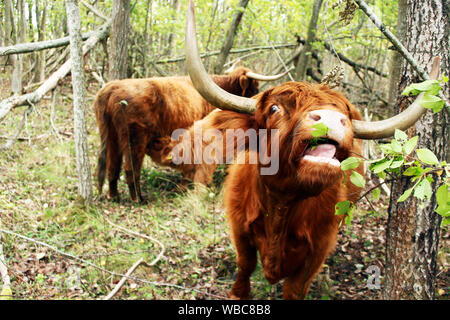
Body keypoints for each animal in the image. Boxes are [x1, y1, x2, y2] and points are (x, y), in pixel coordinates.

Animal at [184, 0, 440, 300]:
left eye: (345, 114)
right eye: (274, 108)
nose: (331, 119)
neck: (281, 205)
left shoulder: (318, 249)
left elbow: (295, 289)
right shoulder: (239, 228)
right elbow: (245, 264)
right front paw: (237, 294)